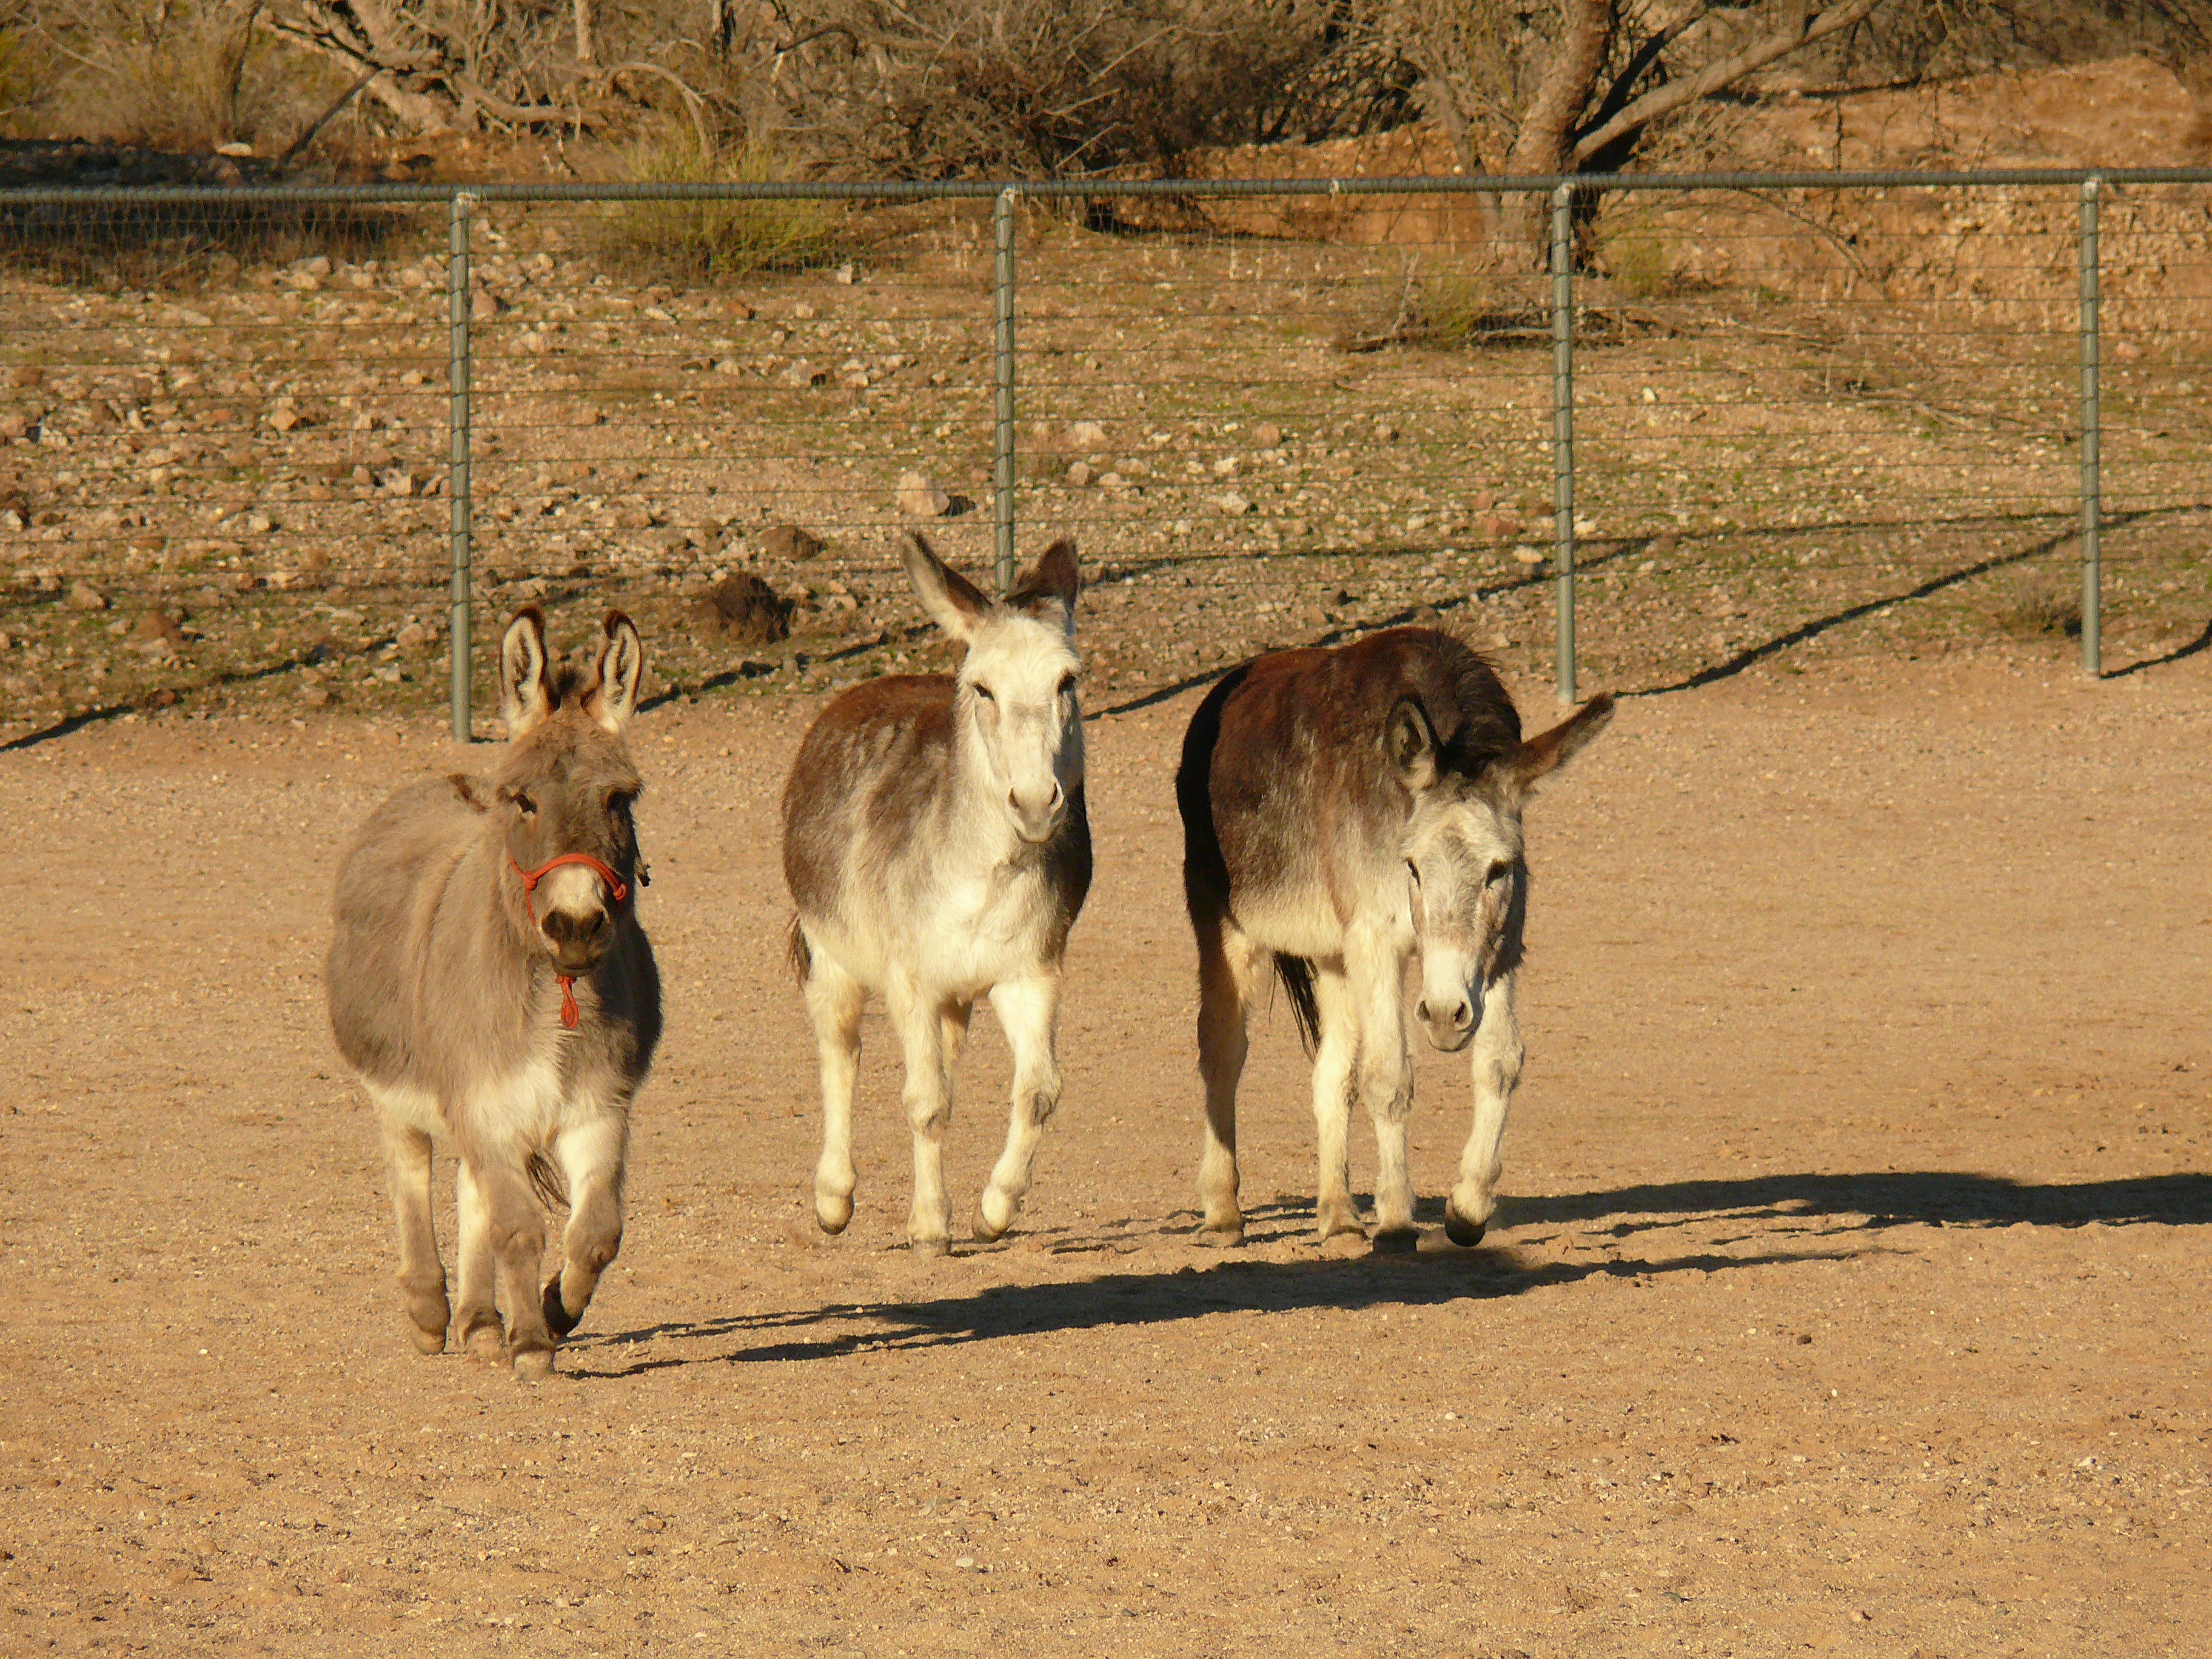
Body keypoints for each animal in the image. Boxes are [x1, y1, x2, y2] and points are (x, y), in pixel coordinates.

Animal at [327, 607, 660, 1376]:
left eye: (620, 799)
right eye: (524, 800)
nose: (576, 923)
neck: (554, 995)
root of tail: (437, 780)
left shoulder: (599, 1107)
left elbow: (597, 1232)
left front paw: (553, 1309)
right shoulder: (484, 1105)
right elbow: (517, 1227)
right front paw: (532, 1345)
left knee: (468, 1187)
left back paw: (480, 1321)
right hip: (399, 1089)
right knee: (412, 1173)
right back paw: (430, 1313)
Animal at [782, 532, 1090, 1255]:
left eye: (1068, 681)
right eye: (982, 688)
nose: (1035, 803)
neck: (985, 882)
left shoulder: (1030, 972)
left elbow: (1039, 1091)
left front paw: (991, 1212)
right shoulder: (909, 979)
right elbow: (924, 1104)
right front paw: (928, 1227)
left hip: (957, 997)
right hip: (831, 956)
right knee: (840, 1054)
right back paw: (833, 1201)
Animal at [1176, 626, 1611, 1249]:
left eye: (1499, 870)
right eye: (1412, 868)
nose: (1447, 1014)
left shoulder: (1501, 945)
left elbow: (1499, 1062)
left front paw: (1467, 1208)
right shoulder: (1376, 940)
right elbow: (1389, 1077)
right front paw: (1400, 1217)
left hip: (1332, 952)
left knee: (1331, 1071)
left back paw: (1339, 1217)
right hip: (1225, 924)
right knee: (1222, 1050)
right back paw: (1222, 1211)